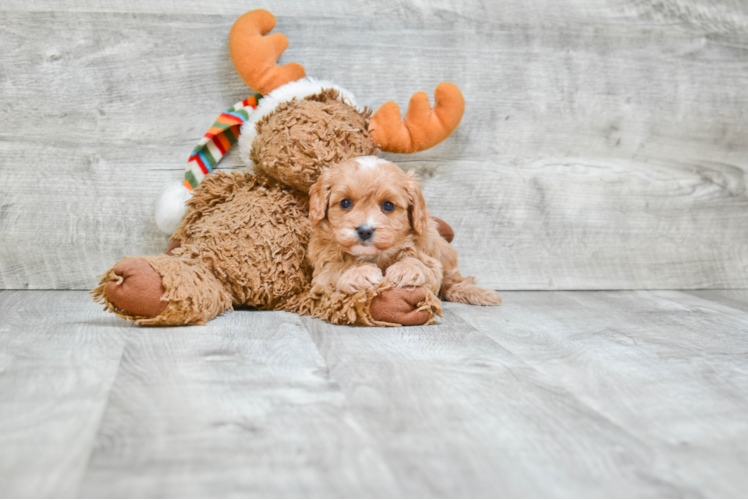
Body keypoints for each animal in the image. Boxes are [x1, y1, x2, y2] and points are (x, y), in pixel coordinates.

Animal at [306, 156, 506, 306]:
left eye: (388, 205)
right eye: (345, 203)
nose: (365, 231)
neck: (375, 255)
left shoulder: (429, 258)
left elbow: (421, 263)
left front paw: (407, 269)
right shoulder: (321, 273)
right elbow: (336, 268)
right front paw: (359, 272)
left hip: (445, 253)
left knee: (452, 282)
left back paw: (480, 293)